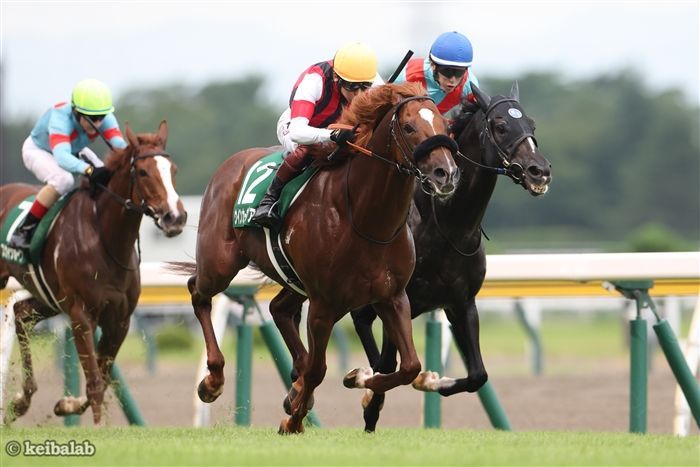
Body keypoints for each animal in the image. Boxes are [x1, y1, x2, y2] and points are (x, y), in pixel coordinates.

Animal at [0, 121, 187, 428]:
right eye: (143, 172)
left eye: (173, 170)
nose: (176, 217)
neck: (106, 239)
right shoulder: (81, 314)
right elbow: (95, 380)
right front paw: (99, 427)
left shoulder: (120, 319)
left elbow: (103, 373)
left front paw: (67, 404)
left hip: (49, 297)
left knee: (21, 314)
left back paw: (21, 401)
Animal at [173, 81, 462, 436]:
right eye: (409, 127)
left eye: (445, 126)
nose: (446, 174)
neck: (365, 218)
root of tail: (231, 163)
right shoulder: (324, 304)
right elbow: (318, 369)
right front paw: (294, 419)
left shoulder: (392, 297)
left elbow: (409, 366)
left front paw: (359, 380)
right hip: (220, 264)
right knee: (197, 291)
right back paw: (212, 381)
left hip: (296, 282)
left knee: (279, 309)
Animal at [344, 81, 552, 432]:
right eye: (500, 126)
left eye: (532, 125)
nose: (540, 171)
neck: (448, 226)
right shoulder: (397, 299)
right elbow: (389, 363)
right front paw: (369, 397)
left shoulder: (461, 302)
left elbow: (478, 374)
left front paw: (429, 380)